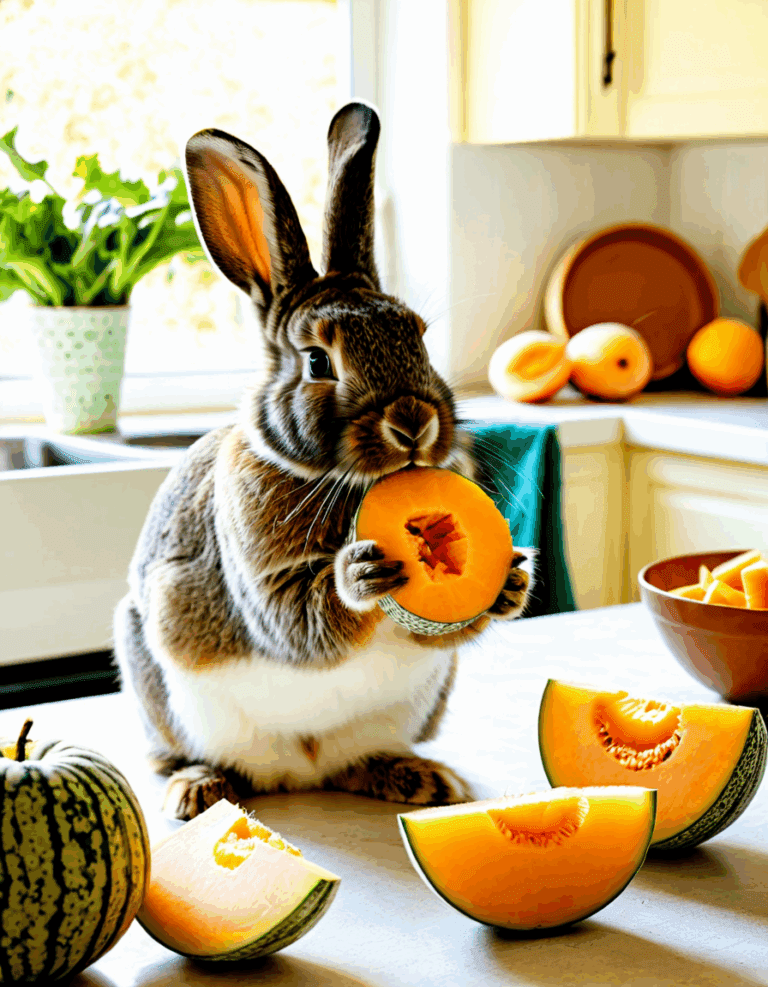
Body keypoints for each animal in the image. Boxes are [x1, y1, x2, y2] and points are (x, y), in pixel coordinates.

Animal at [113, 102, 535, 821]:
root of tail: (298, 769)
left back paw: (417, 779)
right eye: (317, 361)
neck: (351, 483)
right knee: (182, 755)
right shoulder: (261, 577)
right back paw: (199, 788)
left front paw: (511, 583)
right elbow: (300, 618)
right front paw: (357, 574)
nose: (413, 421)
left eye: (418, 336)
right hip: (156, 680)